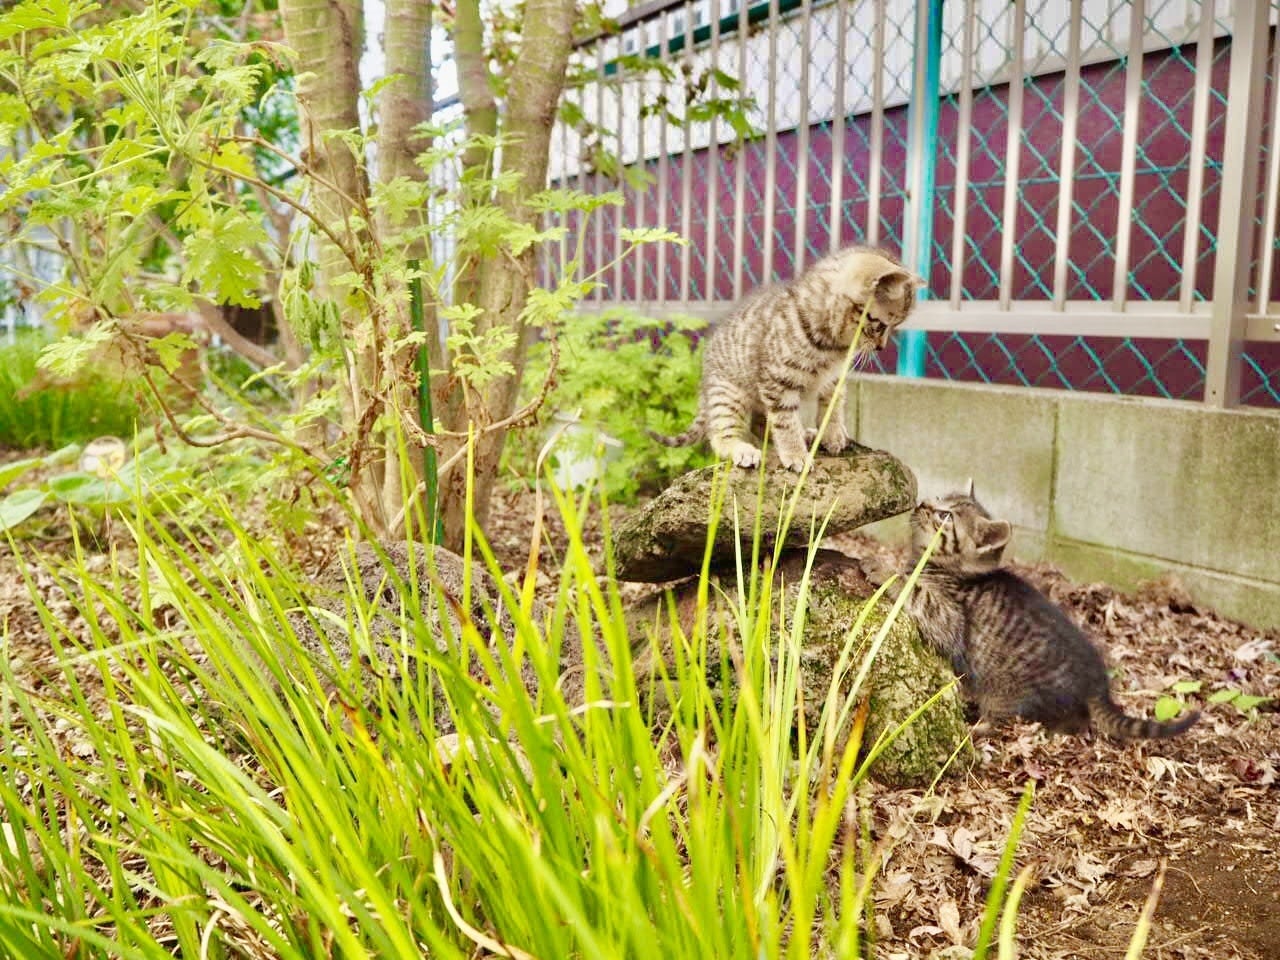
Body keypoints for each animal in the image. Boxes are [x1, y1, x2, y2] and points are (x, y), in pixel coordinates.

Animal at [650, 246, 924, 471]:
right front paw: (795, 455)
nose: (881, 347)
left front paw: (832, 433)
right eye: (881, 326)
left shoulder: (835, 378)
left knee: (760, 425)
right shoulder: (778, 382)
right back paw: (743, 449)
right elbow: (784, 421)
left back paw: (808, 434)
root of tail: (705, 381)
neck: (833, 346)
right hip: (728, 394)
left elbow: (833, 405)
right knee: (722, 433)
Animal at [880, 483, 1200, 740]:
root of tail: (1096, 682)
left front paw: (880, 567)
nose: (923, 504)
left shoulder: (951, 620)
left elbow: (915, 591)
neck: (953, 570)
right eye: (937, 497)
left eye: (945, 516)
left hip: (1007, 692)